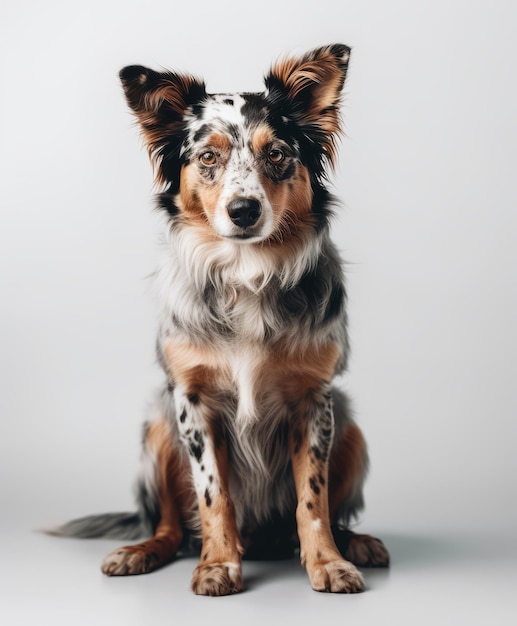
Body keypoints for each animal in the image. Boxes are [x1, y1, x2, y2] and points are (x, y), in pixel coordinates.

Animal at [47, 45, 388, 596]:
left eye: (277, 154)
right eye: (208, 157)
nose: (244, 209)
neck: (246, 274)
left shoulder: (314, 400)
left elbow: (312, 500)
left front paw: (327, 562)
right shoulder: (192, 401)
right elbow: (213, 495)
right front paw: (217, 565)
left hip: (351, 426)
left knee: (332, 510)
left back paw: (355, 542)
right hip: (156, 426)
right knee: (169, 525)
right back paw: (141, 552)